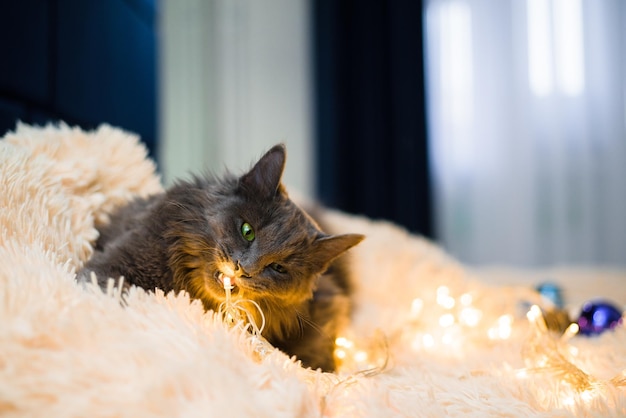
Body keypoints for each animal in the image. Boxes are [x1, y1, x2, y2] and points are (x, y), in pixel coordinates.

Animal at [79, 145, 360, 372]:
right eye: (247, 231)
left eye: (278, 268)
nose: (244, 268)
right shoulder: (117, 263)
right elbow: (118, 292)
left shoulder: (326, 304)